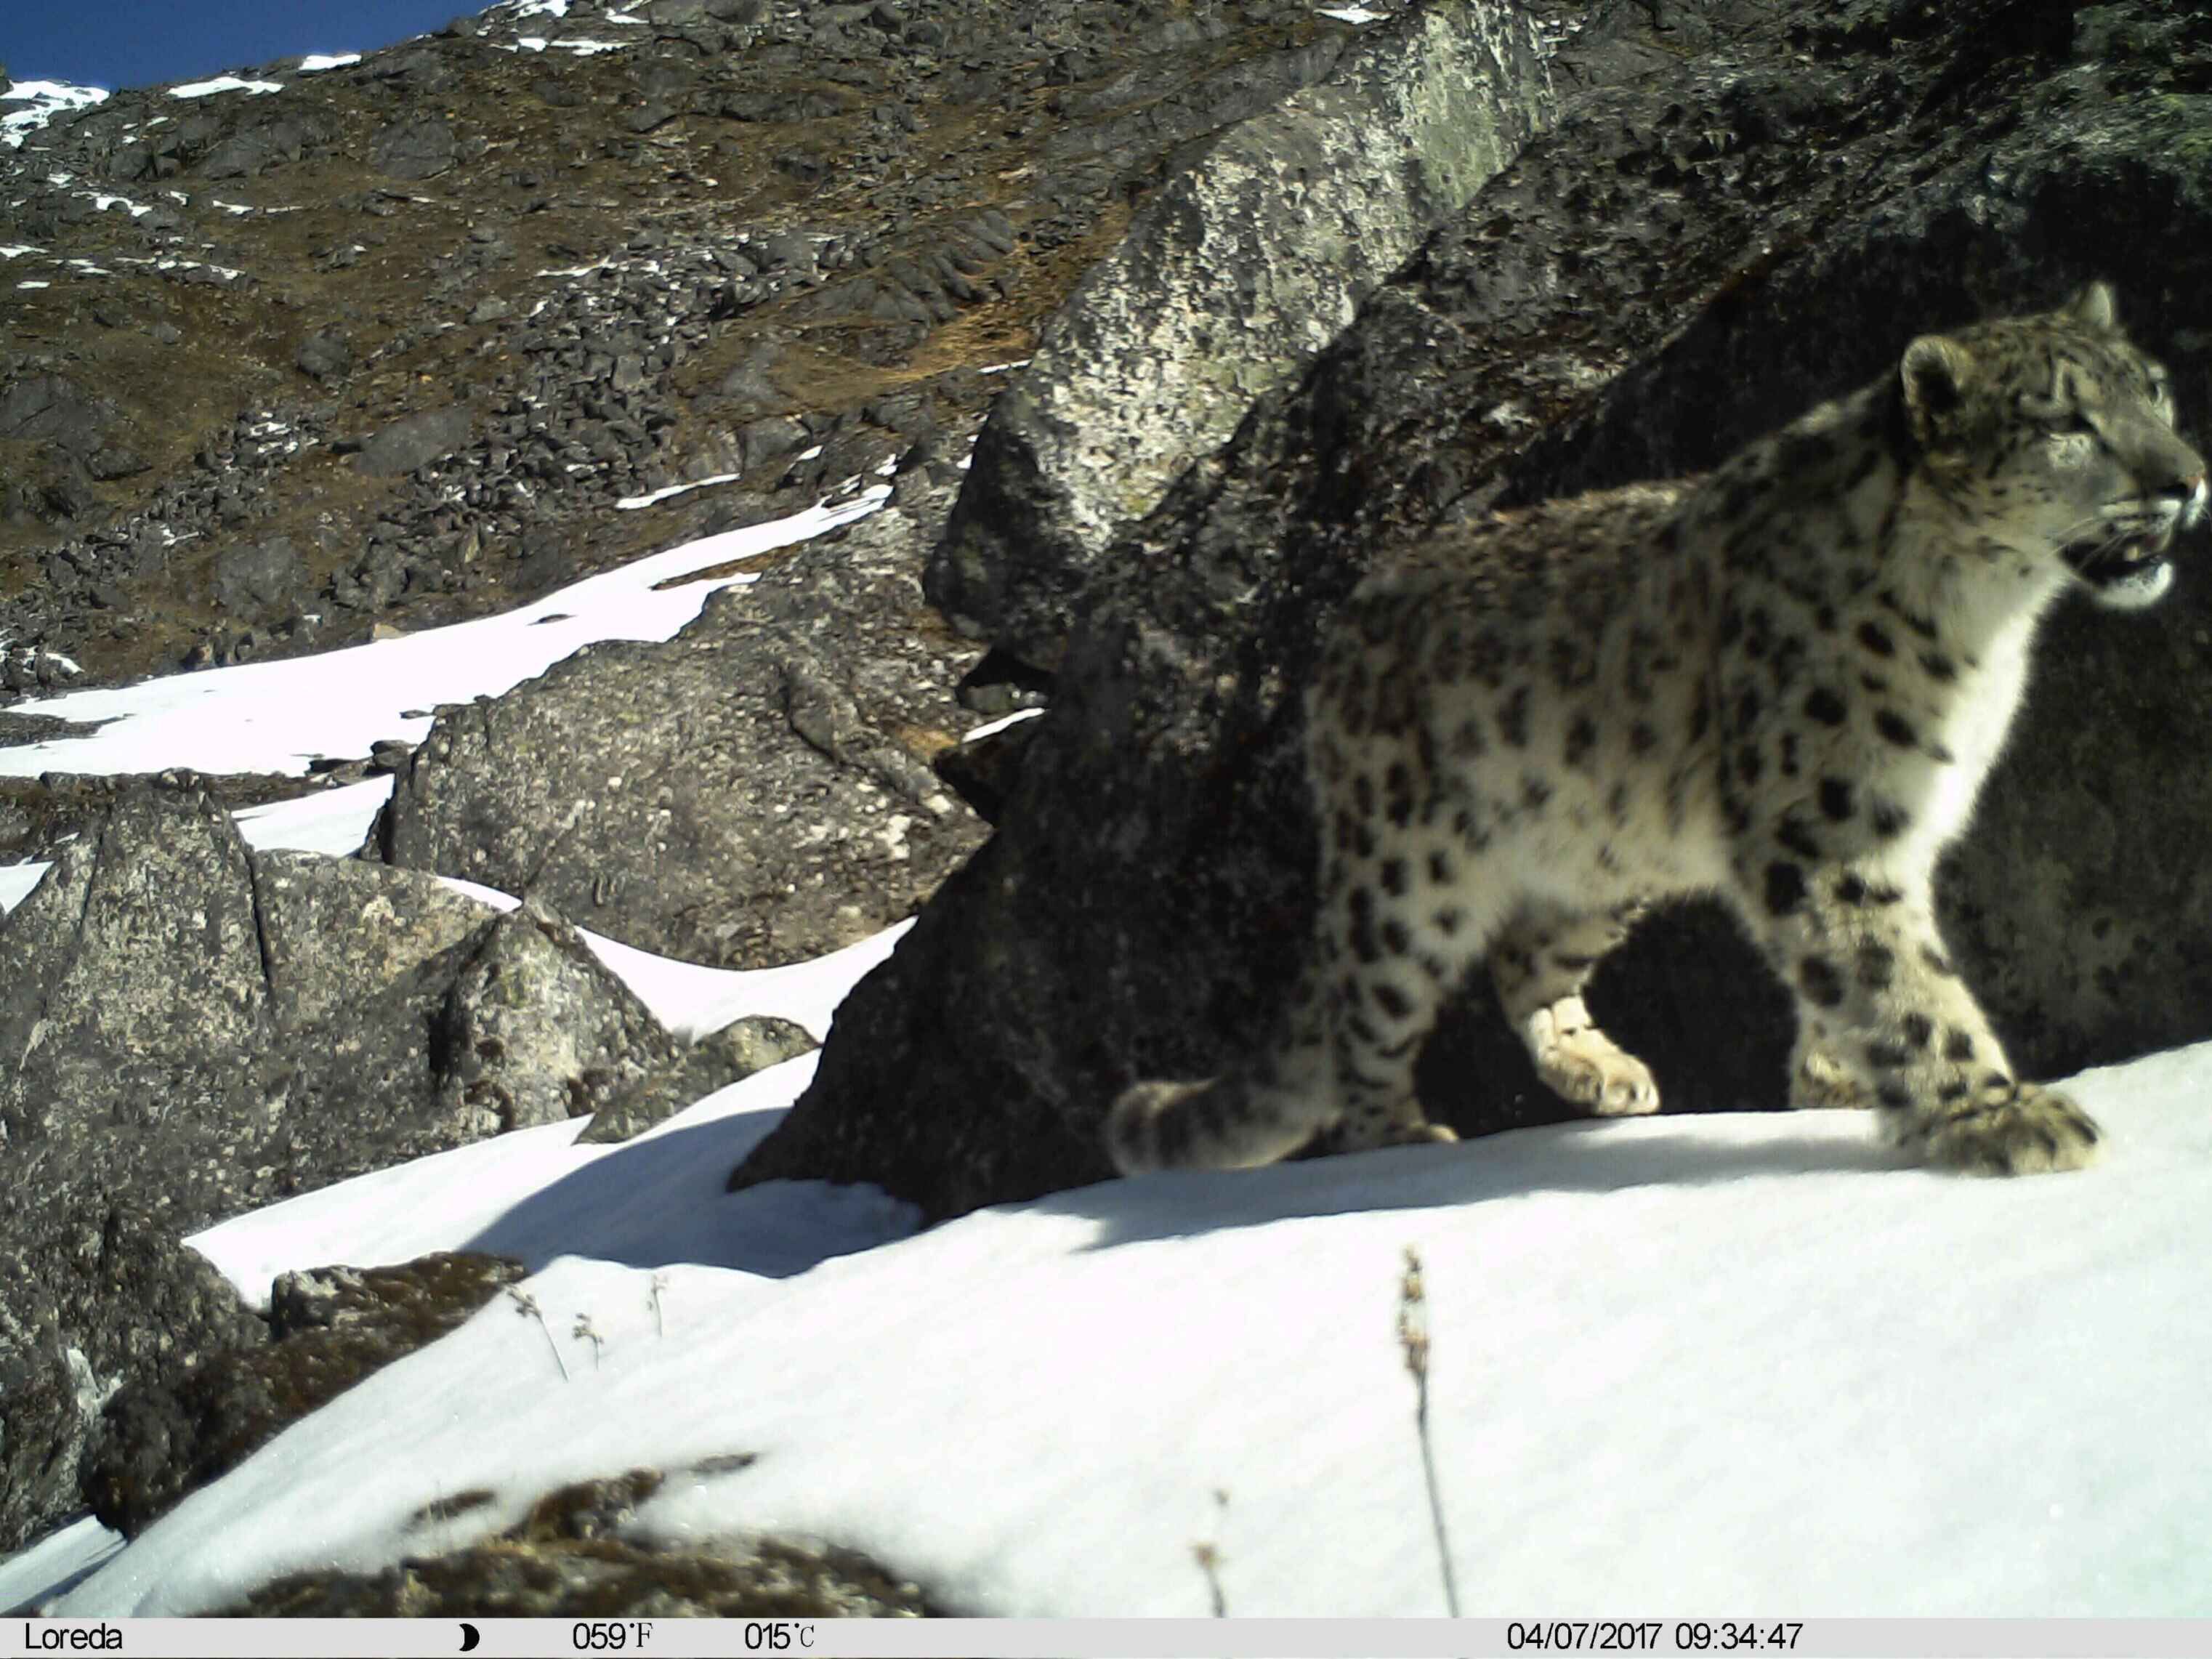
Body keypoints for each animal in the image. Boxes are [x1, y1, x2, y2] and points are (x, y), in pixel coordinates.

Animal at [1115, 283, 2203, 1185]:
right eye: (2064, 422)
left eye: (2154, 390)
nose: (2187, 479)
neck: (1986, 626)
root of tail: (1335, 641)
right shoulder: (1828, 827)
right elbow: (1896, 978)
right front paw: (1998, 1114)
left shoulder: (1896, 822)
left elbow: (1850, 973)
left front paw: (1834, 1077)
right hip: (1404, 872)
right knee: (1363, 1009)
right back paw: (1402, 1140)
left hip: (1599, 854)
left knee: (1524, 957)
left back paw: (1596, 1066)